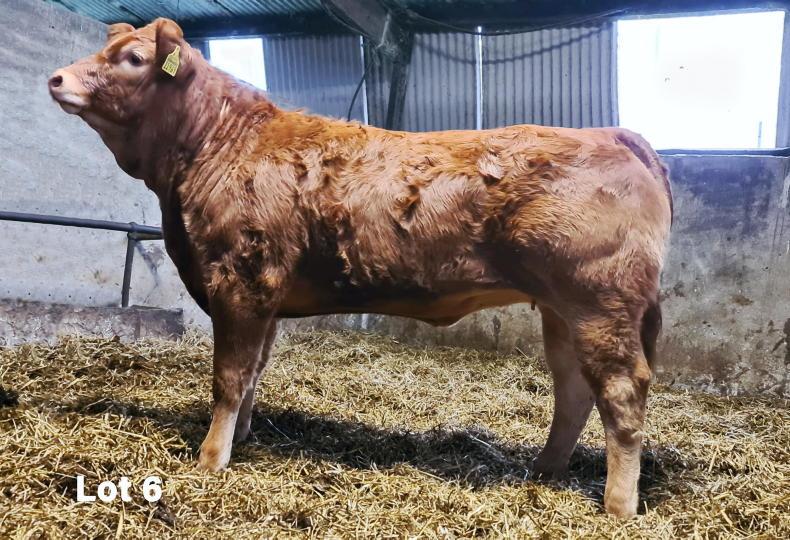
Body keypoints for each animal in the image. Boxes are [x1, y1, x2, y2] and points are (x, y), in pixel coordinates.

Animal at [48, 18, 672, 517]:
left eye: (133, 58)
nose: (57, 78)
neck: (208, 147)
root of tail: (614, 132)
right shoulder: (263, 292)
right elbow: (251, 373)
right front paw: (242, 437)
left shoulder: (238, 278)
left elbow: (228, 377)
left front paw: (209, 459)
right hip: (563, 309)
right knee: (573, 388)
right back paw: (544, 470)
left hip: (599, 301)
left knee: (621, 392)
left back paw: (617, 505)